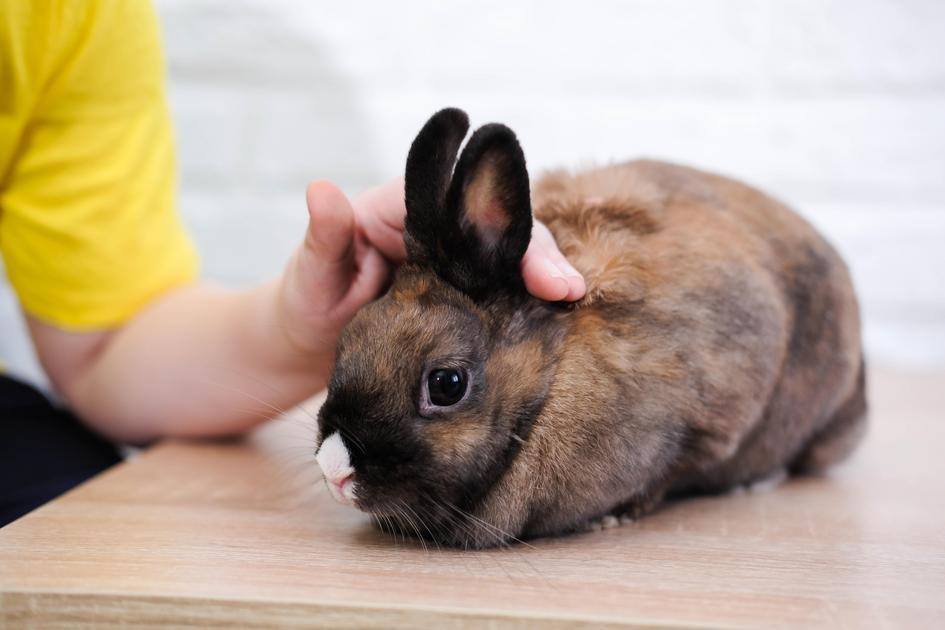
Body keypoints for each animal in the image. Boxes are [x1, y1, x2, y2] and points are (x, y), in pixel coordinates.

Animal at [314, 108, 867, 549]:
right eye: (349, 337)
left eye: (447, 384)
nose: (334, 470)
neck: (549, 381)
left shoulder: (709, 420)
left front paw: (611, 517)